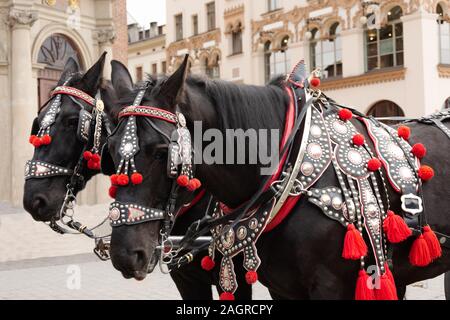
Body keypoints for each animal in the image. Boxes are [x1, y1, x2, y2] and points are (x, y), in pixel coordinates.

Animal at [104, 55, 450, 300]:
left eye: (162, 152)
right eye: (109, 151)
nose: (124, 254)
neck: (288, 168)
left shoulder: (331, 286)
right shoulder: (279, 288)